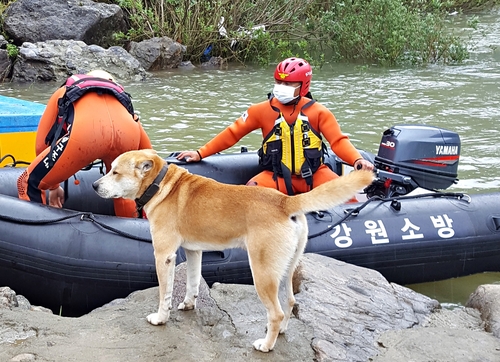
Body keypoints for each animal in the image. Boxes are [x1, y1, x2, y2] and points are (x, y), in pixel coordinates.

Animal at [93, 148, 376, 352]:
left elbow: (165, 293)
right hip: (285, 270)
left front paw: (161, 318)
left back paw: (266, 345)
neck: (162, 185)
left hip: (262, 274)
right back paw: (281, 332)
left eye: (115, 172)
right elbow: (193, 283)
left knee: (275, 313)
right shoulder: (193, 252)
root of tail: (286, 201)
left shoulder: (164, 256)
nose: (95, 185)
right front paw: (188, 304)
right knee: (289, 303)